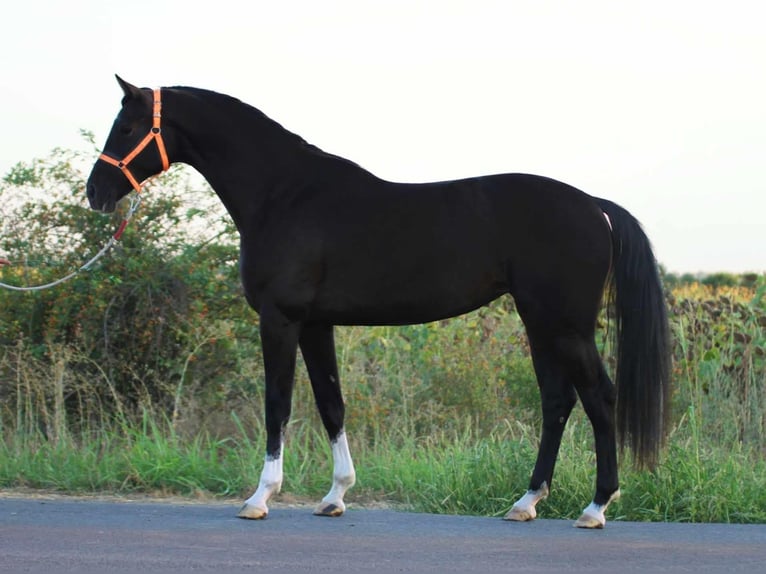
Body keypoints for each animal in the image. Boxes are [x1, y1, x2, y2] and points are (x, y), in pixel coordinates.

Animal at [87, 77, 668, 532]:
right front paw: (335, 496)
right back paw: (526, 503)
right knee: (557, 402)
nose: (95, 192)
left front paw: (260, 498)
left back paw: (596, 507)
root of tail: (594, 206)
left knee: (600, 398)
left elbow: (278, 404)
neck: (285, 194)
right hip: (540, 323)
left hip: (566, 326)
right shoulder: (316, 324)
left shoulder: (280, 320)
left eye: (126, 128)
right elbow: (331, 404)